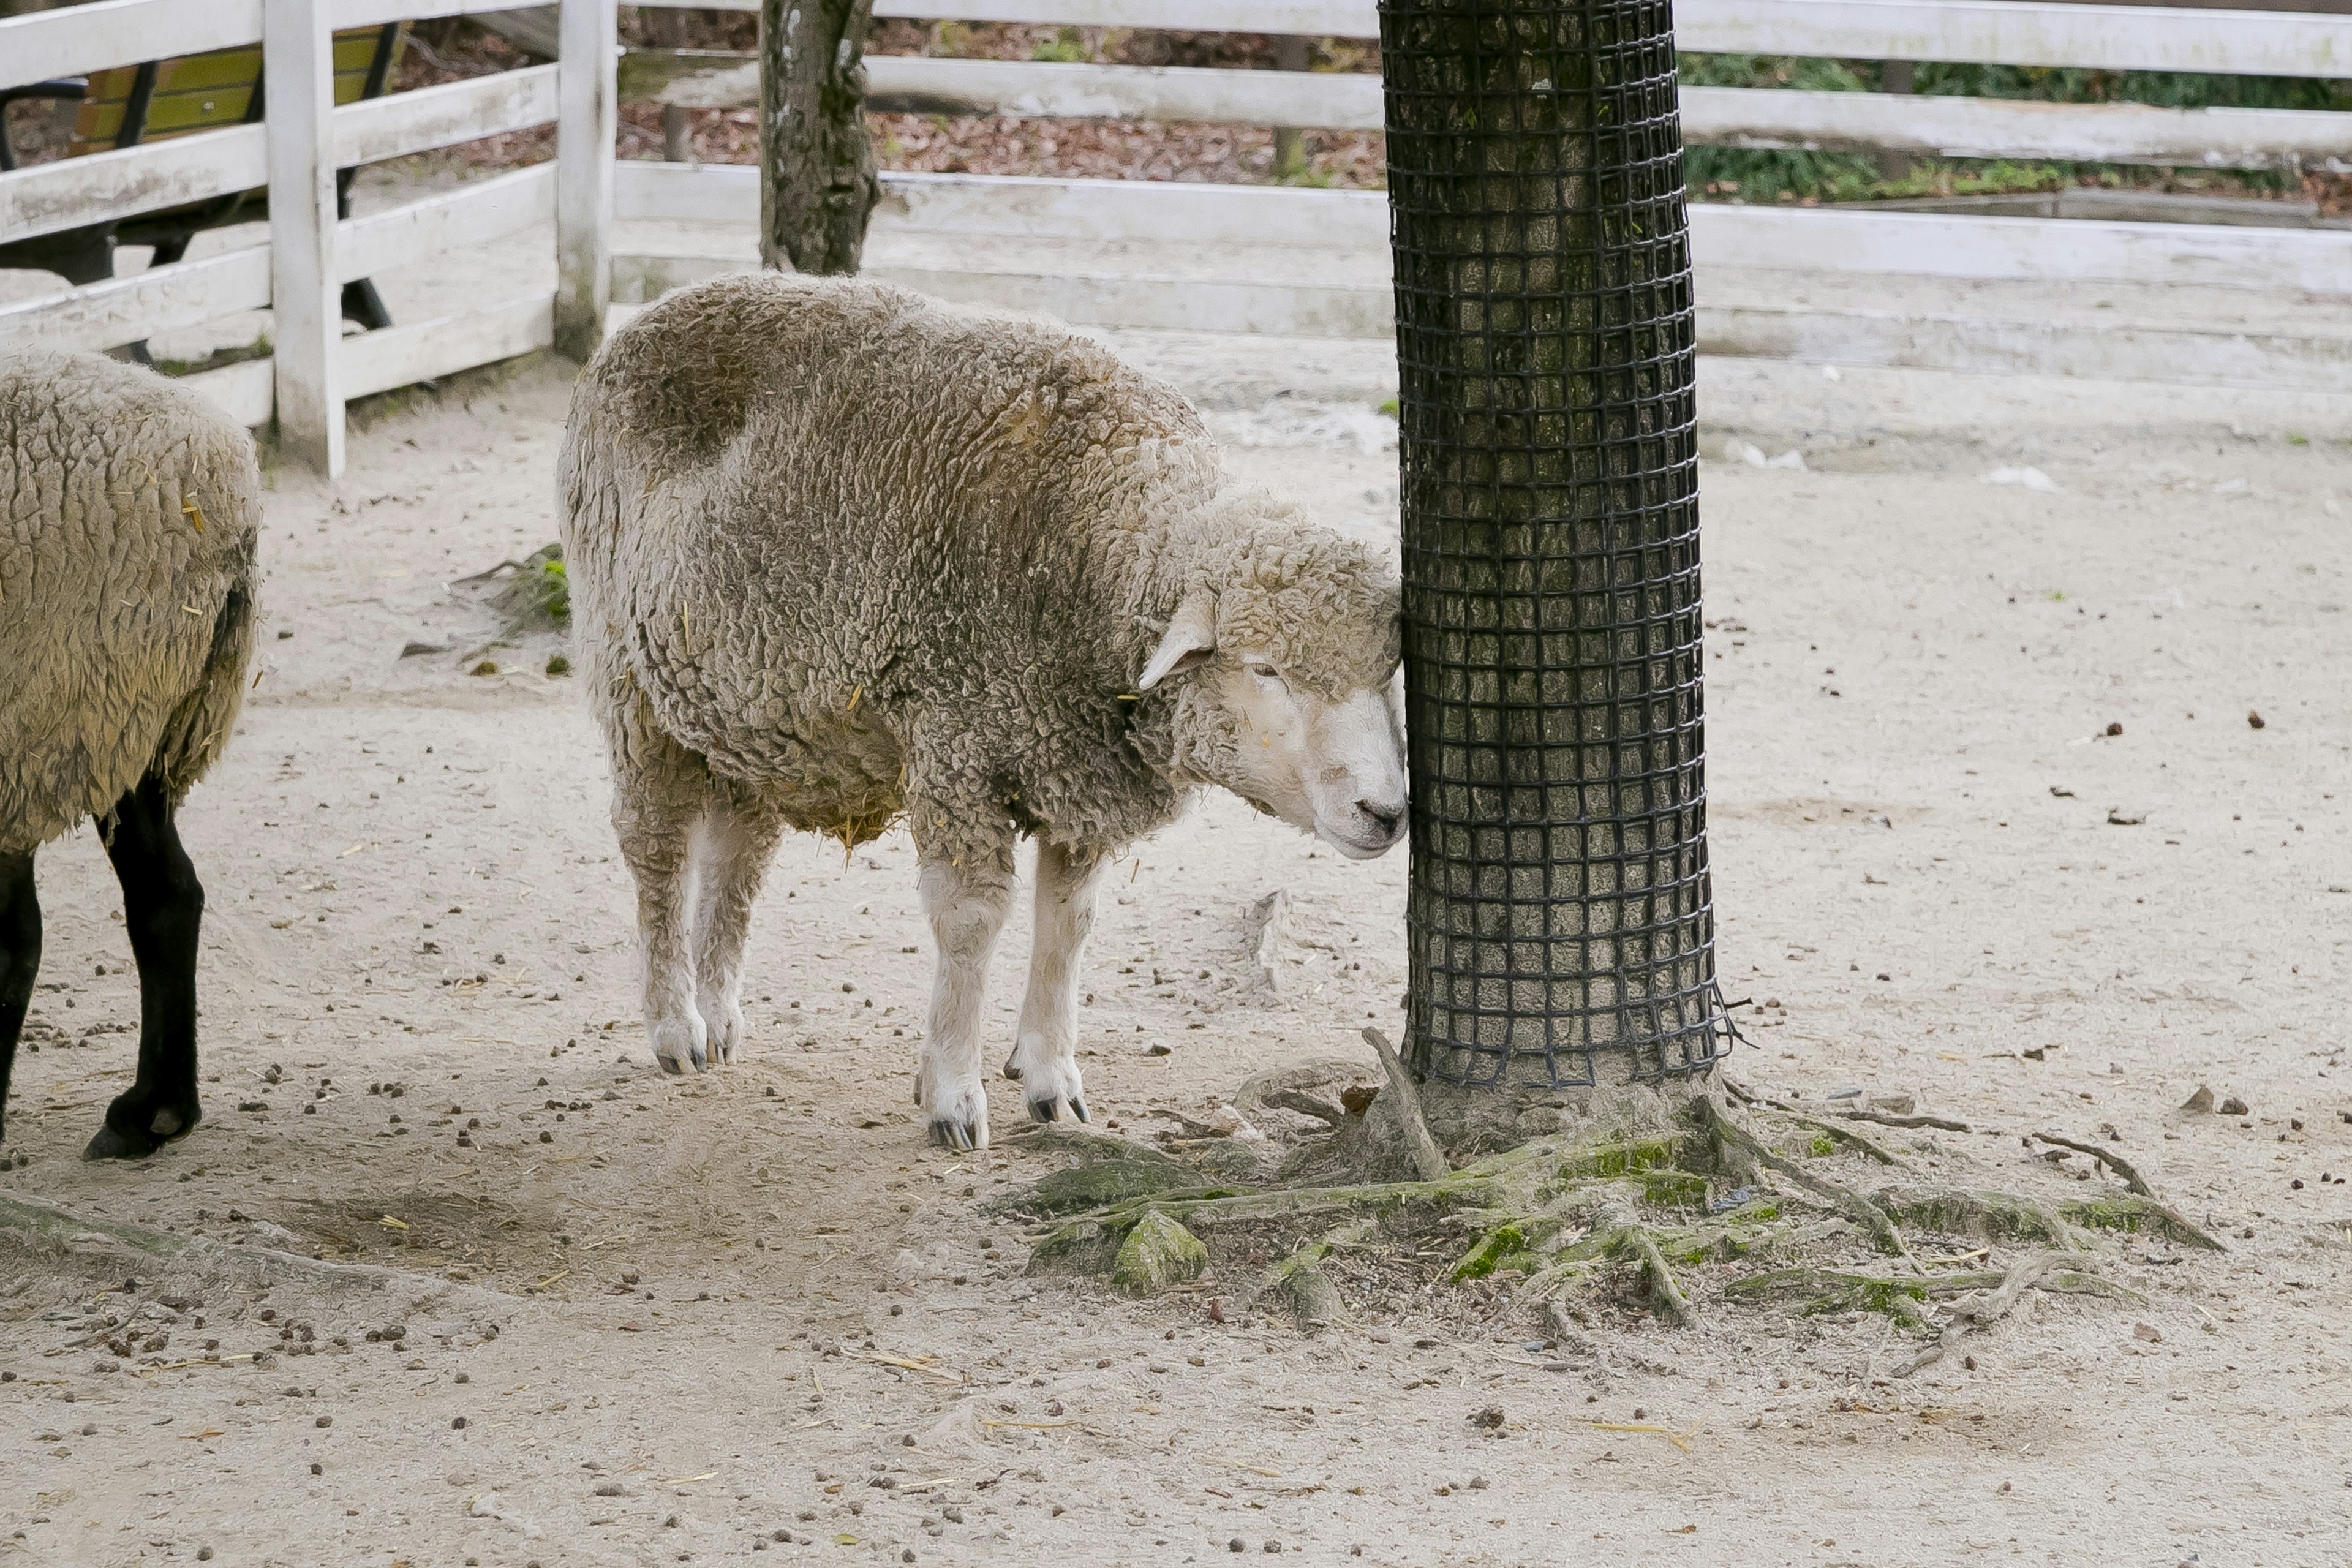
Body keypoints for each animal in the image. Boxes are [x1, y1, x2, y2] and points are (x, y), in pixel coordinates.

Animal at [559, 273, 1401, 1152]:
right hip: (630, 681)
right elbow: (970, 922)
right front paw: (953, 1094)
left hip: (747, 706)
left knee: (739, 850)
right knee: (656, 850)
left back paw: (720, 1011)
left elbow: (1068, 923)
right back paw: (675, 1023)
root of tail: (649, 315)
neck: (1088, 548)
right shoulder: (958, 738)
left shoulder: (1071, 765)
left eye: (1390, 667)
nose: (1387, 812)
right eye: (1265, 668)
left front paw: (1051, 1078)